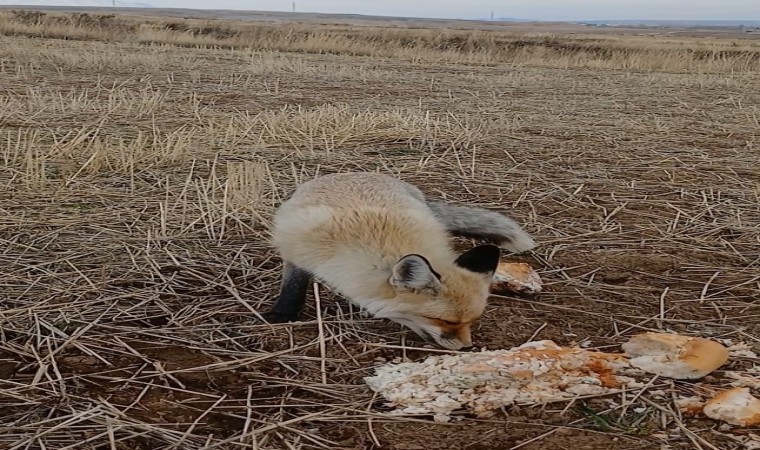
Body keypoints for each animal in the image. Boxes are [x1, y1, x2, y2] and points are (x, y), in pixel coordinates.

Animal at [263, 172, 537, 350]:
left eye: (472, 321)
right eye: (447, 321)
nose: (468, 348)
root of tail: (351, 172)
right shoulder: (295, 250)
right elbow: (293, 286)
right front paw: (283, 313)